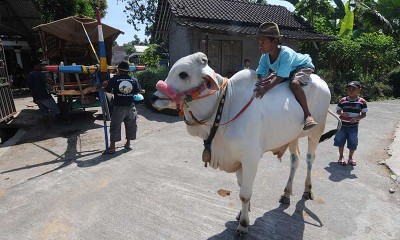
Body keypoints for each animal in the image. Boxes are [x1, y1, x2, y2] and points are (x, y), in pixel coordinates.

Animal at [152, 52, 340, 234]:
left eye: (183, 74)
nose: (154, 97)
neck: (225, 107)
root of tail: (321, 81)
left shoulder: (250, 158)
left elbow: (244, 194)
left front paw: (243, 225)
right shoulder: (238, 159)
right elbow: (242, 187)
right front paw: (243, 214)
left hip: (315, 133)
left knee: (309, 159)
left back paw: (308, 190)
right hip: (292, 136)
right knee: (295, 160)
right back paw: (286, 193)